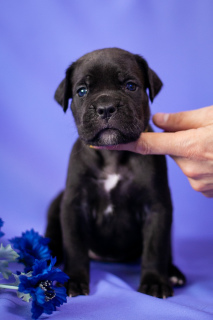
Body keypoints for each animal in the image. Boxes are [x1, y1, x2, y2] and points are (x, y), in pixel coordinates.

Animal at [45, 47, 186, 298]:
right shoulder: (74, 206)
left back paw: (173, 272)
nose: (106, 107)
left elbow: (155, 247)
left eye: (130, 86)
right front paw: (74, 280)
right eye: (82, 91)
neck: (113, 153)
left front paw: (155, 281)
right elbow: (75, 246)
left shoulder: (156, 209)